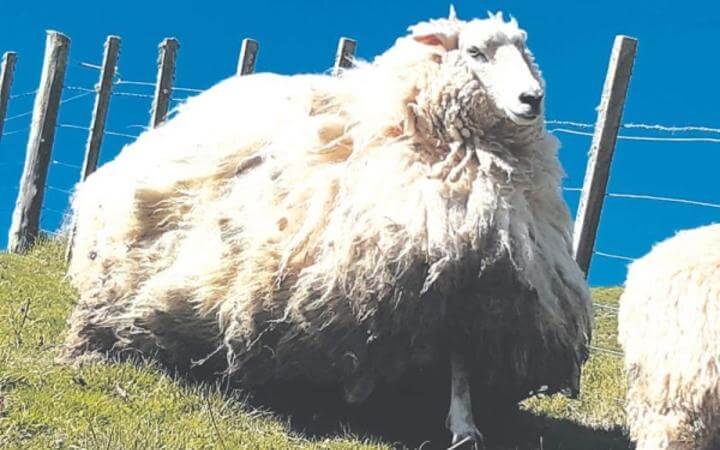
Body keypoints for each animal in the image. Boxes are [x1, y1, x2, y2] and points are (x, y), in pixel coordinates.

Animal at [63, 7, 592, 446]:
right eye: (476, 51)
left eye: (524, 51)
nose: (532, 98)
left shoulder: (473, 283)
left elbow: (459, 361)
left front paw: (464, 428)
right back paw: (89, 351)